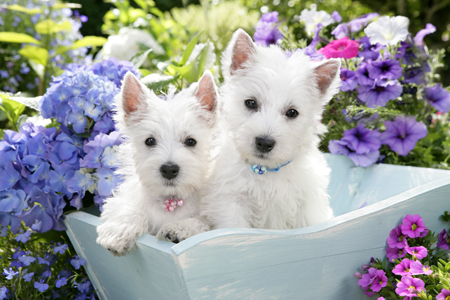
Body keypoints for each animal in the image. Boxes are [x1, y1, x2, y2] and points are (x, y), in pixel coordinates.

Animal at [97, 71, 217, 255]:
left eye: (191, 141)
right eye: (150, 141)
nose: (169, 169)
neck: (170, 200)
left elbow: (201, 225)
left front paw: (177, 229)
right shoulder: (123, 200)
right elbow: (129, 208)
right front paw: (118, 232)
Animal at [201, 28, 342, 230]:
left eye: (292, 112)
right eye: (251, 103)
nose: (264, 142)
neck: (265, 171)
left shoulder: (308, 208)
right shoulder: (230, 205)